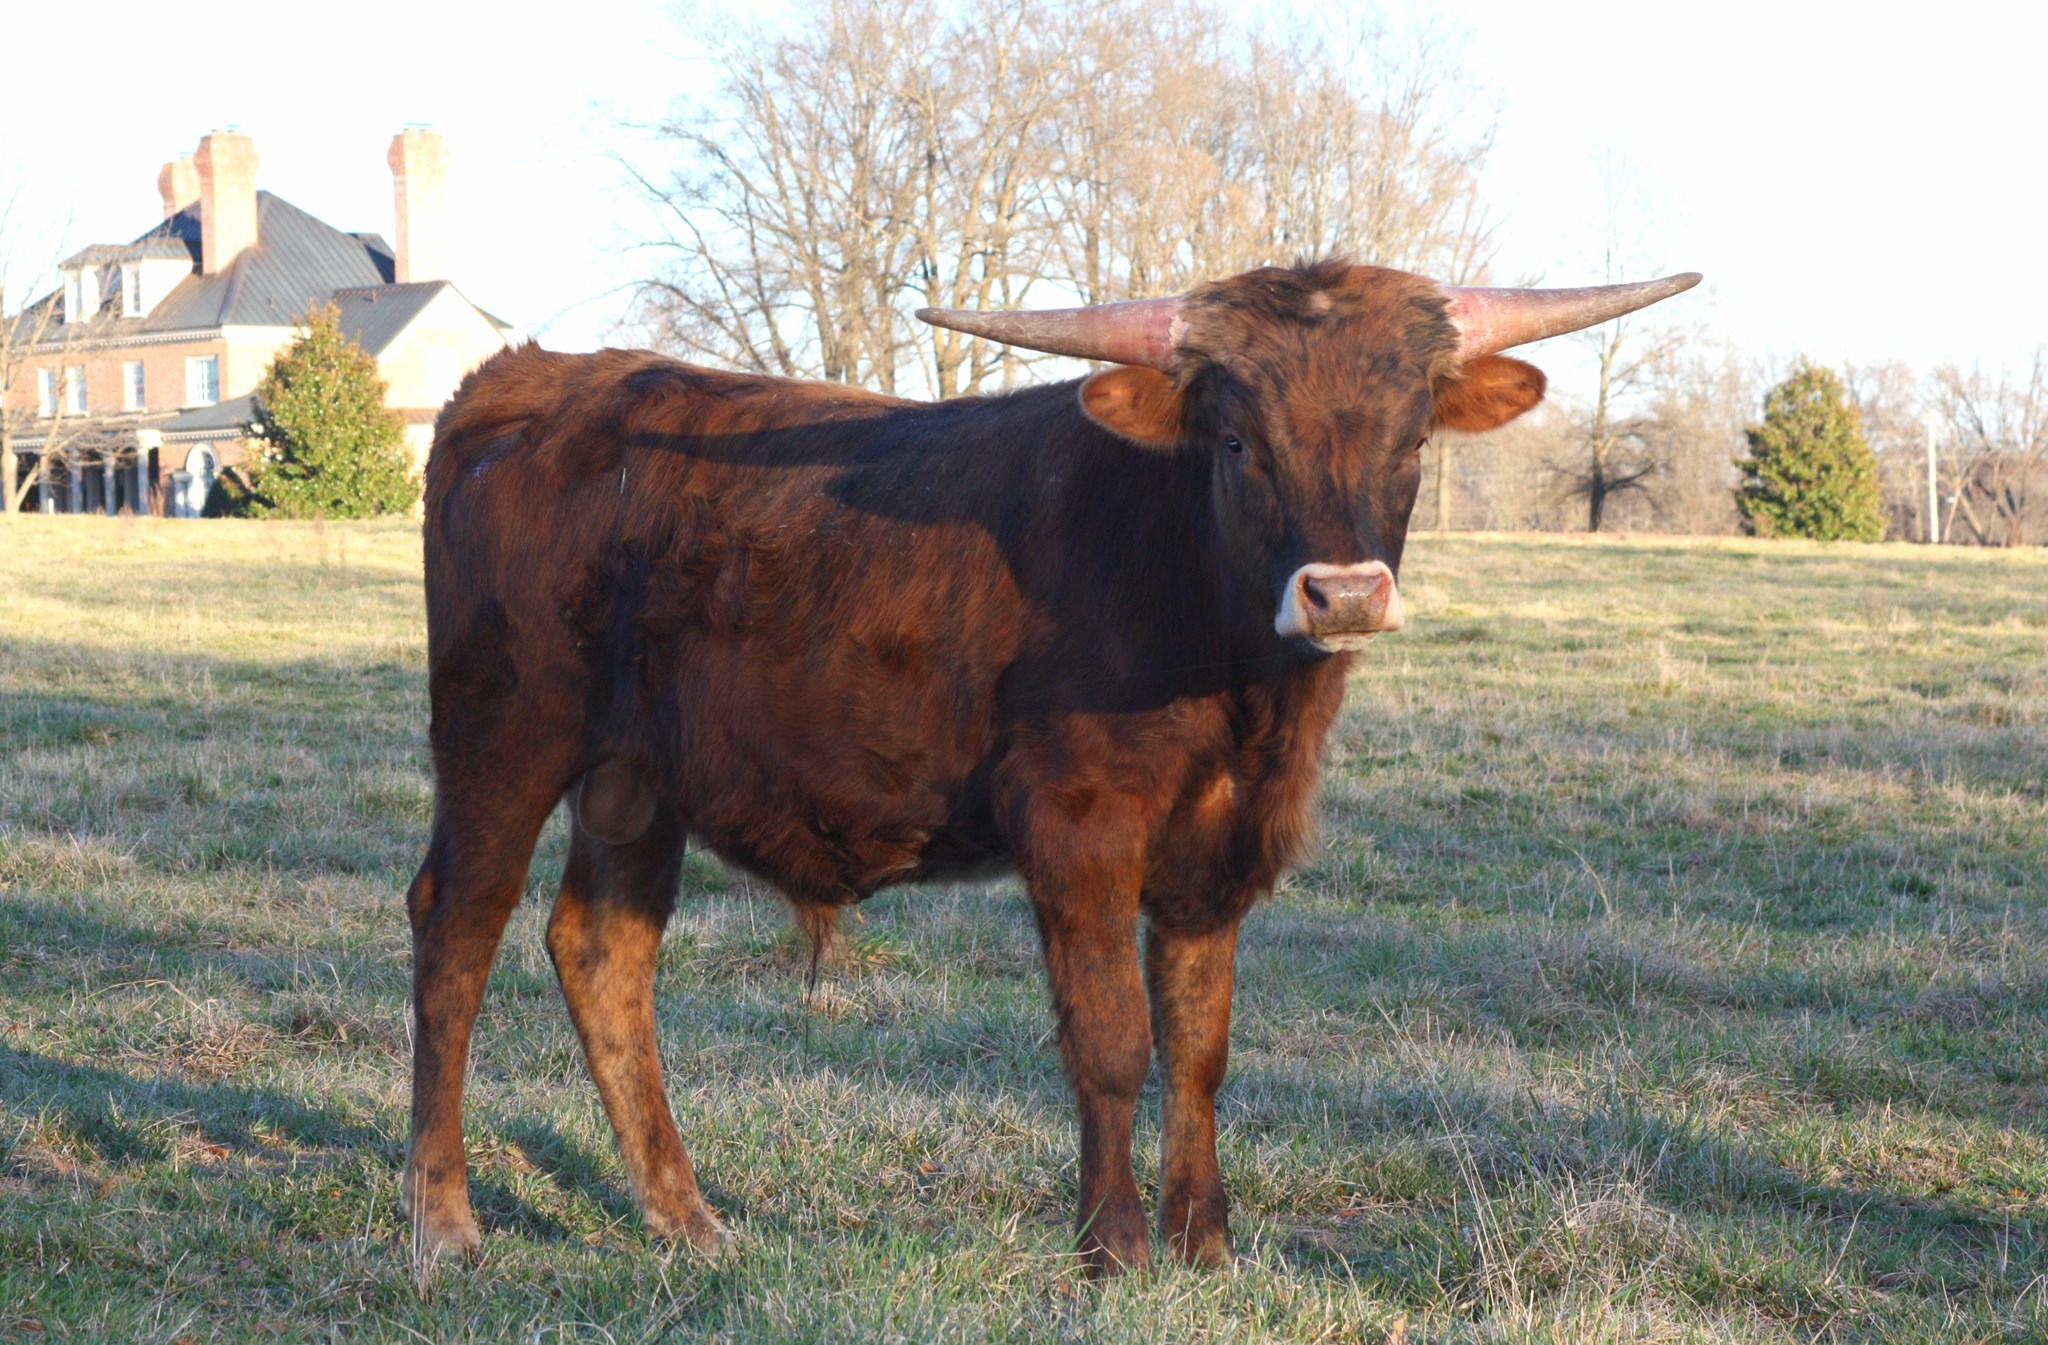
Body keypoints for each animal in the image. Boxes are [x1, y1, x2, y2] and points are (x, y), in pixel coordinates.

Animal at [401, 259, 1697, 1276]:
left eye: (1410, 437)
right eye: (1238, 438)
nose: (1342, 593)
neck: (1234, 679)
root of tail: (533, 377)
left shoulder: (1217, 850)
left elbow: (1199, 1045)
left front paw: (1203, 1242)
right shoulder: (1080, 826)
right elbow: (1112, 1037)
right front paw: (1113, 1247)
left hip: (635, 775)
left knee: (600, 947)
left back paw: (687, 1218)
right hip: (503, 730)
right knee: (456, 930)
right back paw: (445, 1218)